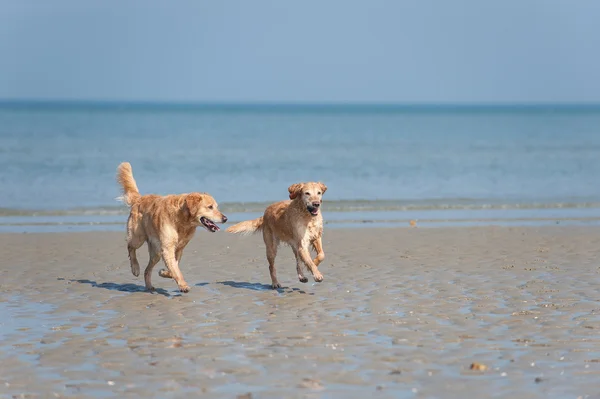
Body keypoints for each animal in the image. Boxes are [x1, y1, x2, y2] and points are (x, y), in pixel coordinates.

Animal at [115, 162, 227, 294]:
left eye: (216, 207)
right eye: (210, 207)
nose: (225, 218)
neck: (183, 221)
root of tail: (139, 199)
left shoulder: (178, 249)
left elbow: (174, 267)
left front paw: (164, 272)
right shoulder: (167, 248)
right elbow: (176, 270)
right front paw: (183, 285)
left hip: (156, 252)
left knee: (147, 270)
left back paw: (149, 286)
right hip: (138, 237)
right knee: (130, 247)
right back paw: (135, 268)